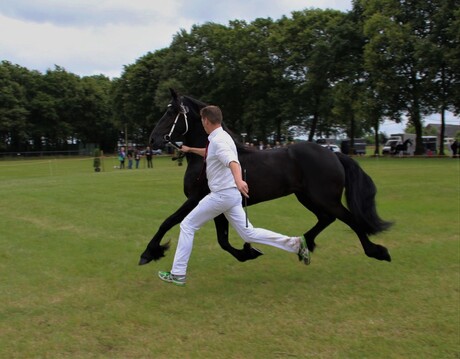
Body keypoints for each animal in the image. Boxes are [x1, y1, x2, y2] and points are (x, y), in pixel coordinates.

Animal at [139, 88, 392, 266]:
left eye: (171, 112)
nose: (152, 140)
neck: (206, 157)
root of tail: (333, 153)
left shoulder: (196, 199)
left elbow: (168, 221)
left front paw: (149, 252)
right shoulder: (218, 206)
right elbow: (222, 240)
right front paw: (247, 252)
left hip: (323, 198)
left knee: (349, 219)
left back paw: (377, 251)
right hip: (308, 197)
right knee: (326, 218)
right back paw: (305, 243)